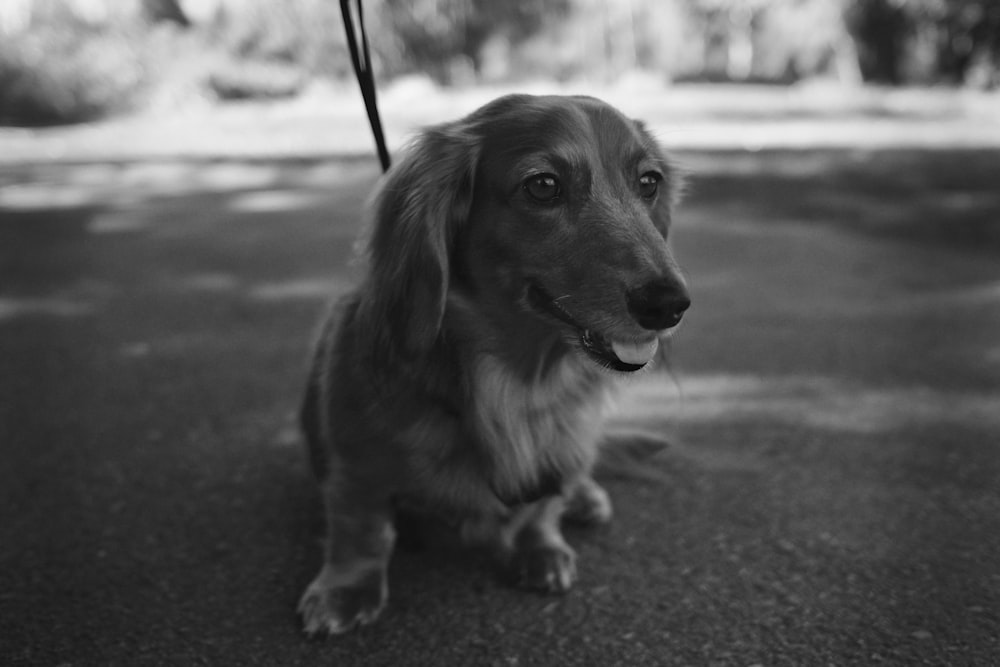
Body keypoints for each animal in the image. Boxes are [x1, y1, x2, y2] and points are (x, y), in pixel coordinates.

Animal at [294, 95, 688, 636]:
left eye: (648, 182)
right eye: (543, 186)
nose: (669, 304)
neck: (518, 378)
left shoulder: (559, 440)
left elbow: (543, 506)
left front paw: (540, 546)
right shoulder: (354, 461)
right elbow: (362, 527)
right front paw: (346, 588)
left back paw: (585, 496)